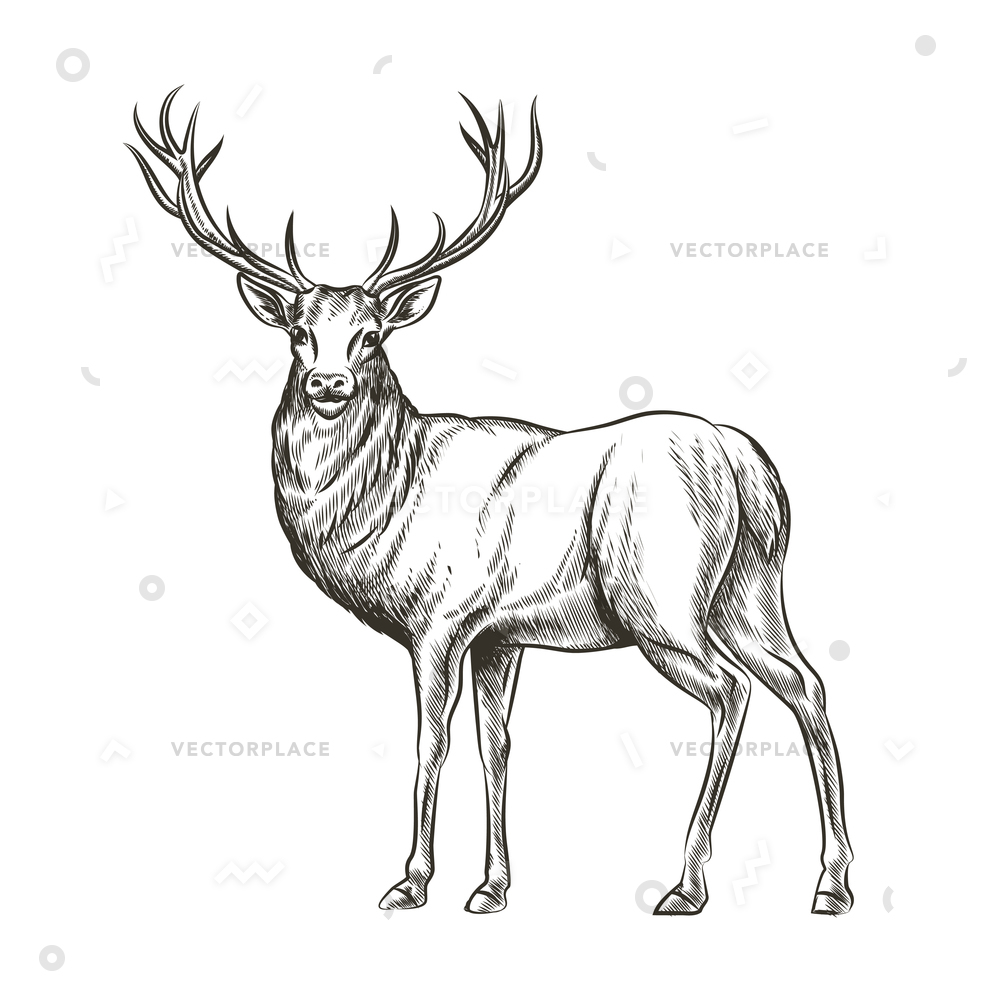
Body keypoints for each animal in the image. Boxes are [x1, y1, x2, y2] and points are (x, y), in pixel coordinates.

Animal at [127, 88, 853, 916]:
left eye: (372, 335)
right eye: (298, 333)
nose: (328, 384)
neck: (387, 501)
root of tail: (744, 463)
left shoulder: (441, 616)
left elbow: (432, 741)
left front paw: (411, 881)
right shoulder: (501, 636)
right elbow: (497, 746)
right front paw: (493, 886)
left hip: (659, 597)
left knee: (732, 691)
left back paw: (687, 885)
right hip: (750, 588)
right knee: (806, 681)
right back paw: (832, 883)